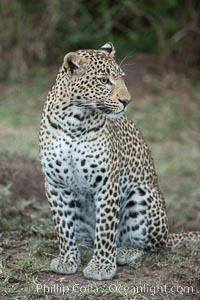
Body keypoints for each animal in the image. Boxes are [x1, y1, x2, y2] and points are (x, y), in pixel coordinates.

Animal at [39, 41, 200, 280]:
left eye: (121, 78)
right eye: (104, 80)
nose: (127, 101)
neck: (74, 121)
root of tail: (168, 233)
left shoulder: (106, 183)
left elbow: (106, 229)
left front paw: (102, 266)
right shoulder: (55, 184)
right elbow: (63, 227)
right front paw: (68, 260)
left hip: (142, 196)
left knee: (150, 246)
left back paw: (123, 252)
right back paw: (86, 249)